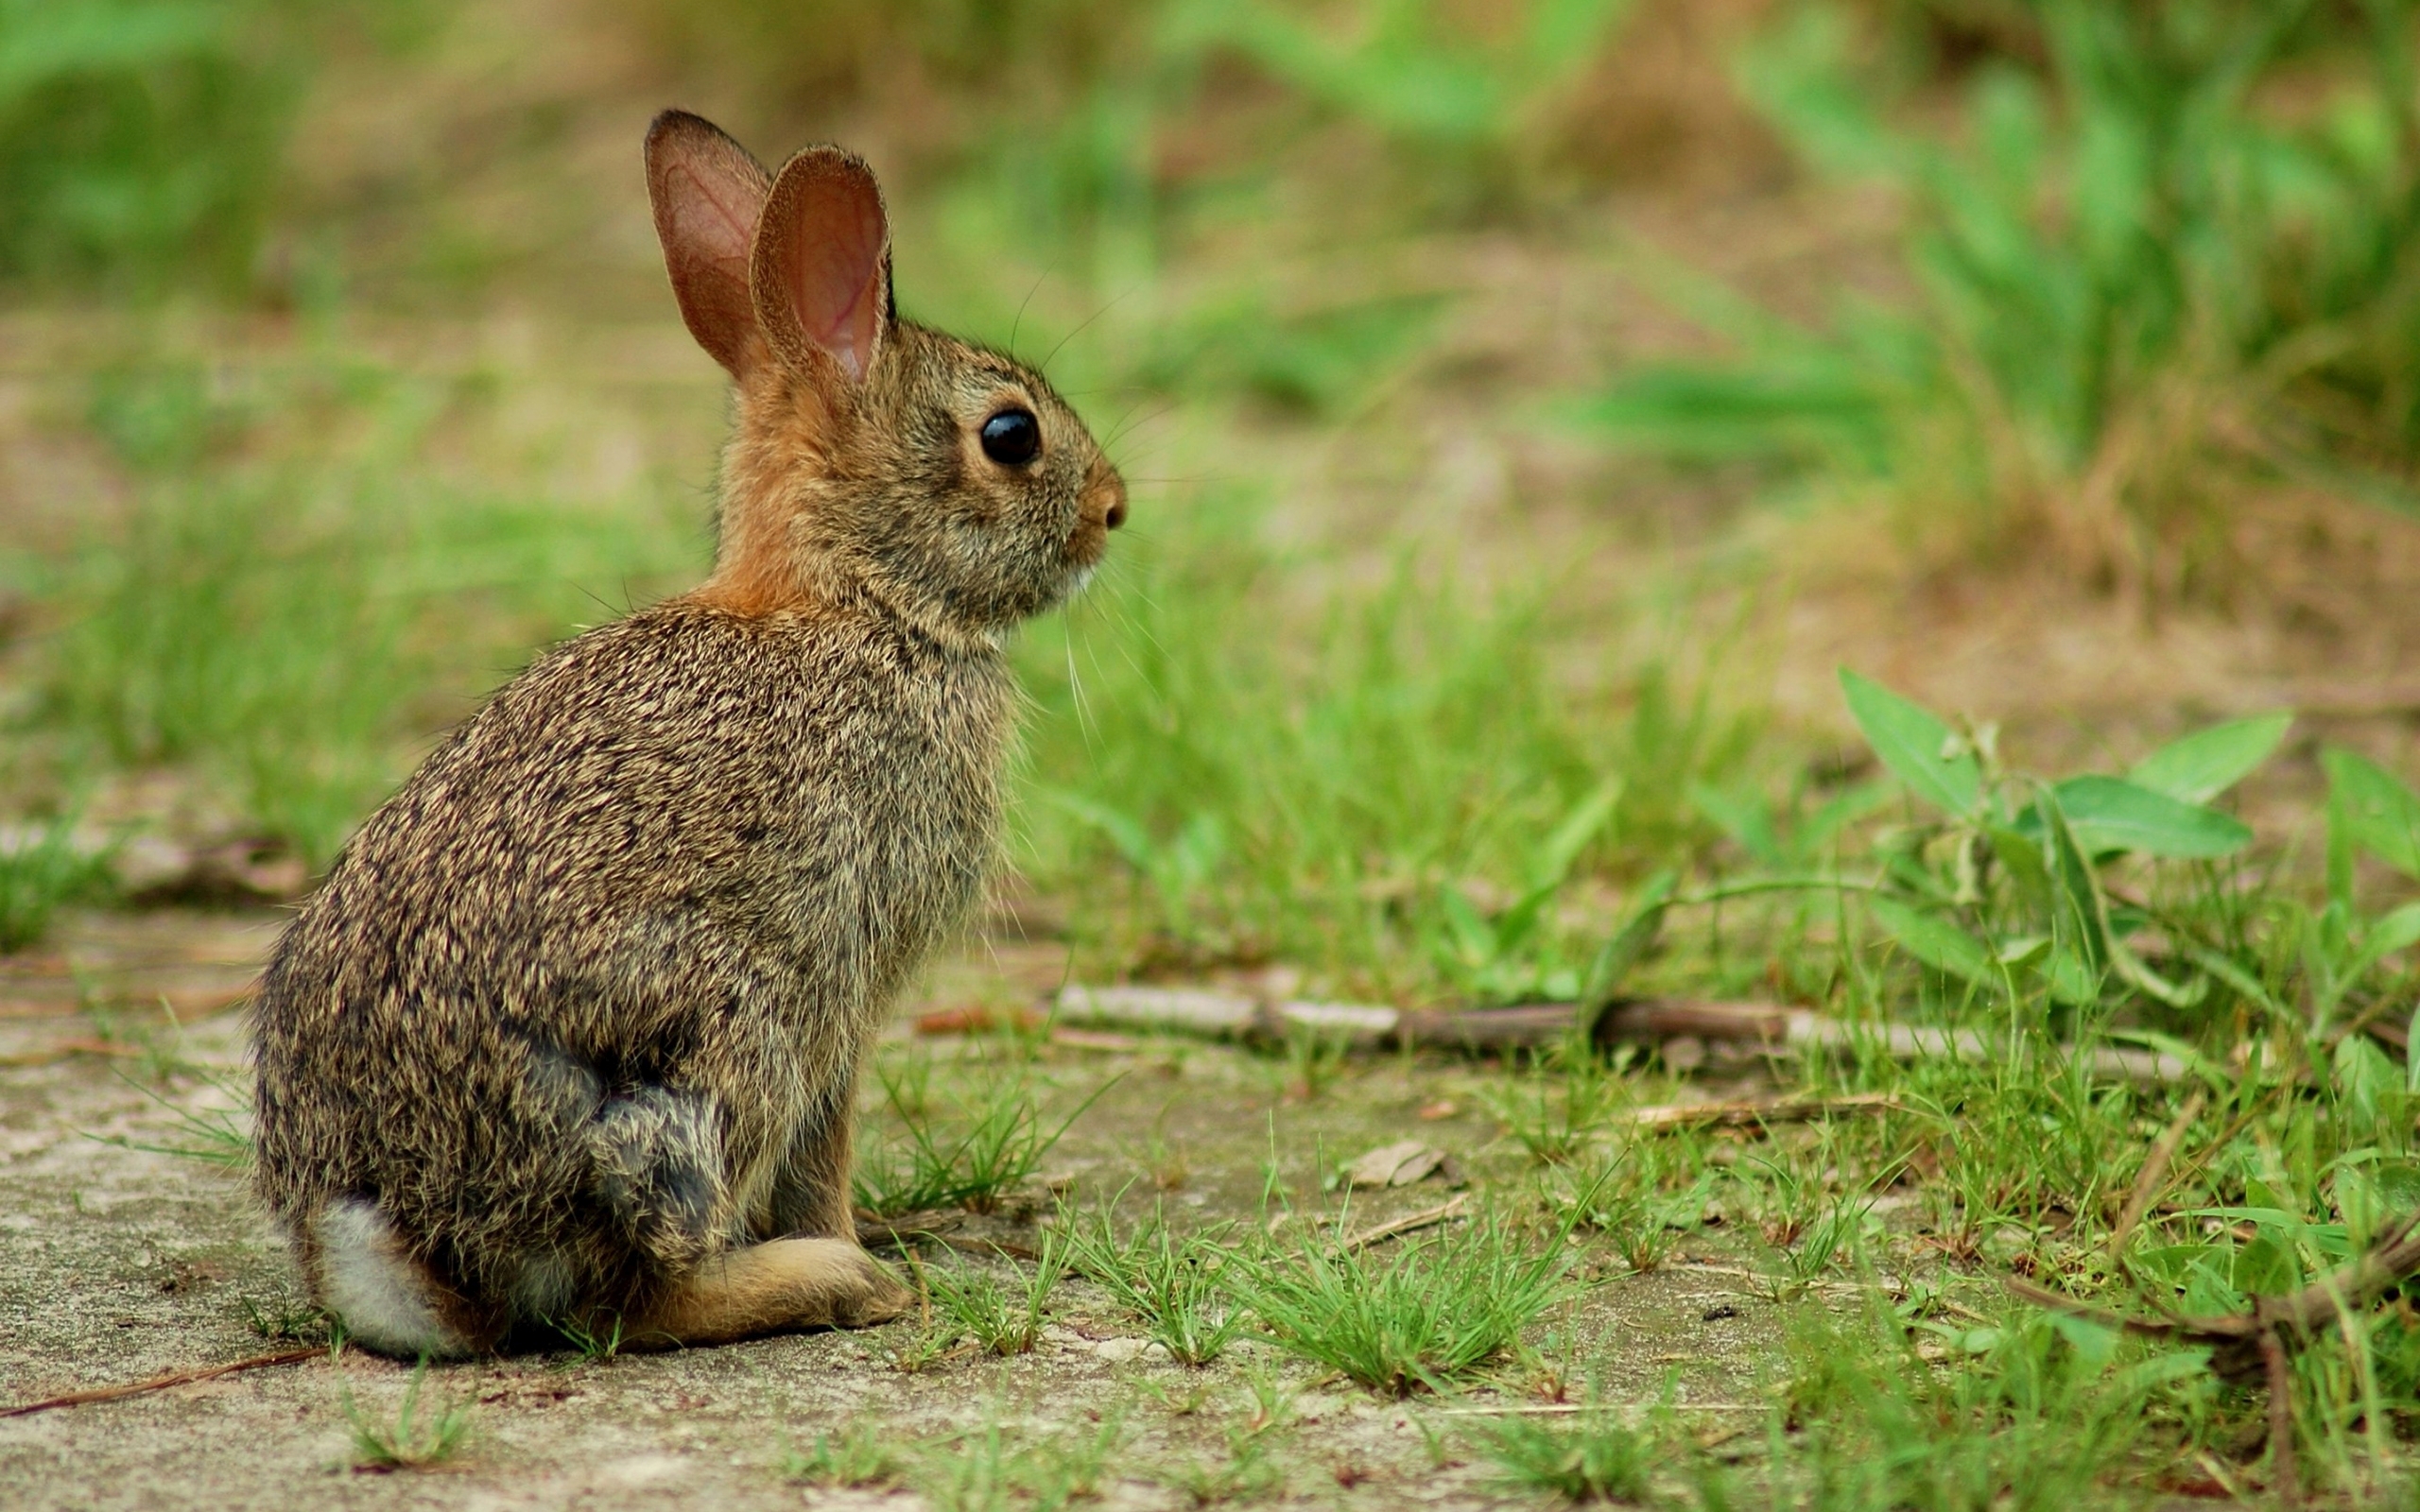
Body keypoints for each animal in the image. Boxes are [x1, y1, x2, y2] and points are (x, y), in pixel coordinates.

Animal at [240, 109, 1127, 1354]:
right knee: (633, 1296)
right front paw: (857, 1244)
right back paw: (831, 1279)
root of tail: (391, 1231)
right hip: (715, 1043)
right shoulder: (843, 978)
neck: (852, 599)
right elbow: (825, 1147)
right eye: (1010, 435)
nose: (1114, 509)